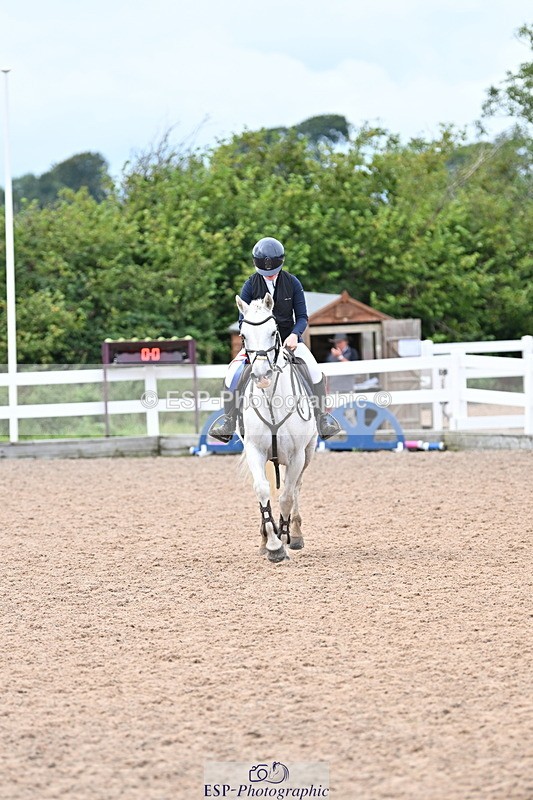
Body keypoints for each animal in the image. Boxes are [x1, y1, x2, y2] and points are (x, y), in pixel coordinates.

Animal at [235, 292, 317, 563]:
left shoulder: (296, 455)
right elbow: (262, 491)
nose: (262, 376)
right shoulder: (254, 451)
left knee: (297, 488)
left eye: (273, 332)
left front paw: (284, 538)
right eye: (243, 336)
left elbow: (287, 496)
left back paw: (295, 534)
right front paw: (271, 544)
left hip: (308, 453)